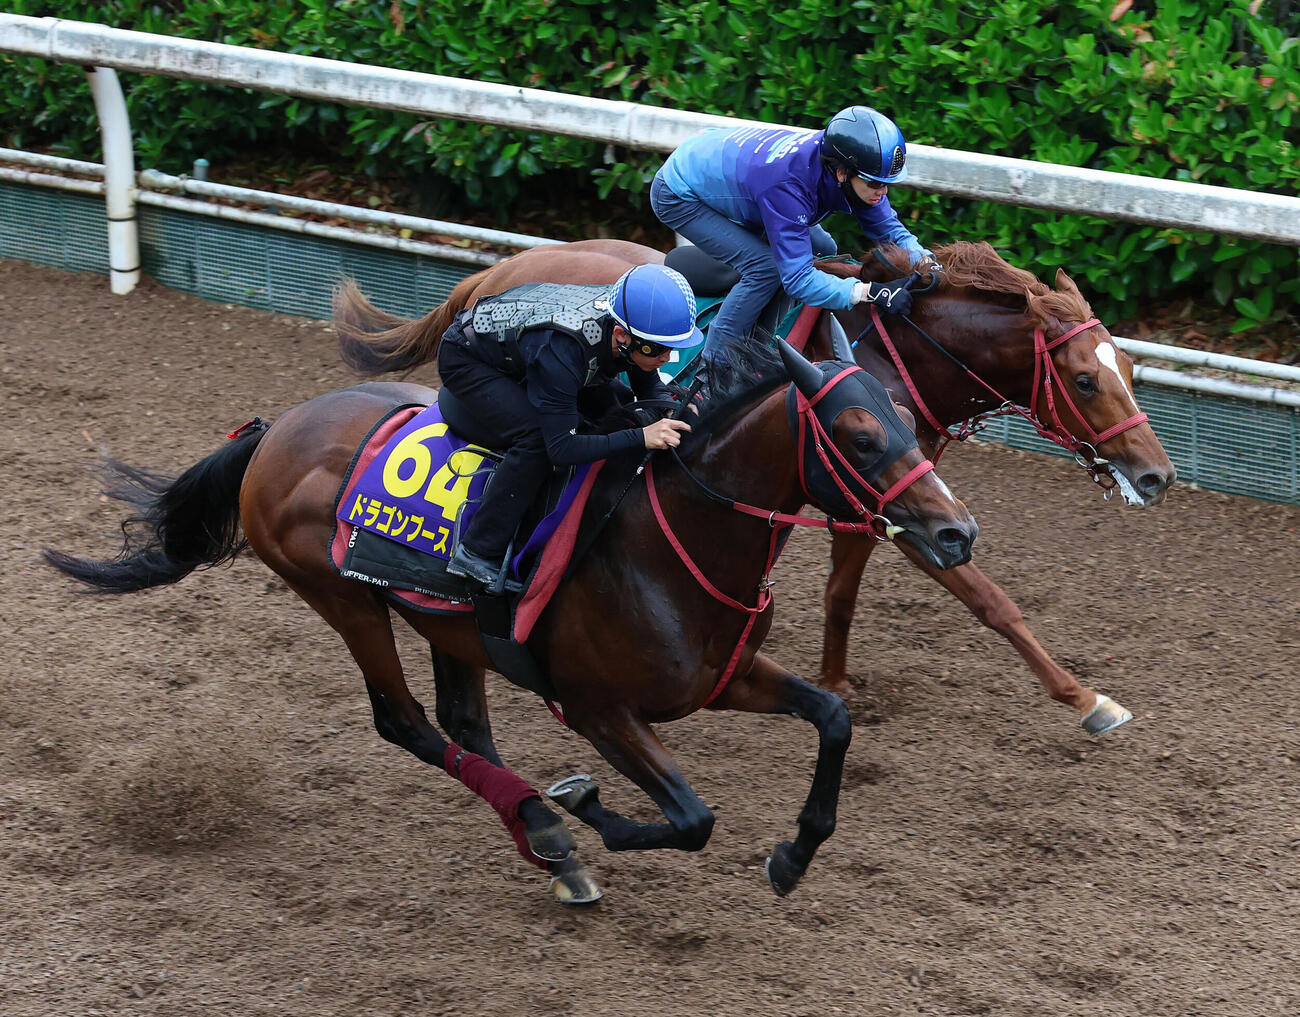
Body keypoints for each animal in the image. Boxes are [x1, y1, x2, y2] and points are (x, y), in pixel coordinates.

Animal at [44, 339, 977, 905]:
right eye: (858, 434)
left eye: (908, 420)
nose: (956, 532)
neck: (673, 541)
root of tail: (278, 430)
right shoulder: (599, 707)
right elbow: (691, 818)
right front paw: (583, 803)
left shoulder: (723, 675)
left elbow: (834, 715)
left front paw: (793, 854)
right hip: (343, 596)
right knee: (406, 723)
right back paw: (548, 827)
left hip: (446, 622)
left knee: (463, 722)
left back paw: (540, 832)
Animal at [335, 237, 1175, 735]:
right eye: (1085, 379)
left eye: (1132, 371)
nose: (1156, 474)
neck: (894, 348)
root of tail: (495, 270)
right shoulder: (884, 493)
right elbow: (989, 598)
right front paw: (1086, 698)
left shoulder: (880, 494)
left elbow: (842, 594)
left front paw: (833, 677)